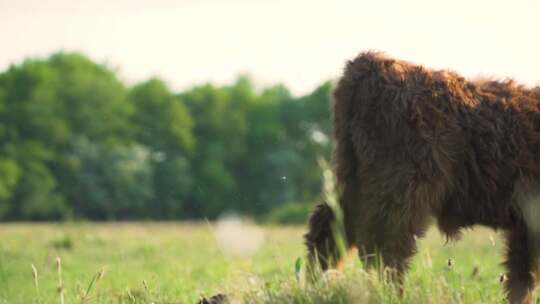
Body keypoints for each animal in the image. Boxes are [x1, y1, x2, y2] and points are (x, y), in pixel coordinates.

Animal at [306, 52, 540, 304]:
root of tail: (370, 62)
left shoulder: (524, 226)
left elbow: (521, 276)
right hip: (399, 188)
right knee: (383, 248)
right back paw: (389, 296)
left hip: (353, 178)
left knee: (327, 231)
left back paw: (312, 285)